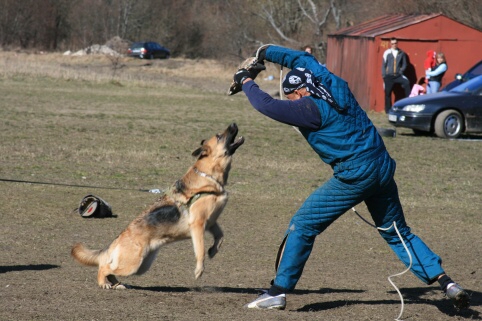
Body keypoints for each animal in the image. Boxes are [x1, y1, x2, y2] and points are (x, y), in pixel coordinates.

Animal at [70, 122, 245, 288]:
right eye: (219, 136)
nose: (234, 124)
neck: (209, 176)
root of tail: (116, 240)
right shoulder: (198, 224)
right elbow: (200, 250)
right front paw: (199, 270)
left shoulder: (211, 222)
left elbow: (220, 236)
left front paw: (213, 251)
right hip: (133, 264)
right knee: (104, 267)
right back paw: (104, 283)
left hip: (141, 266)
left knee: (110, 268)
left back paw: (117, 284)